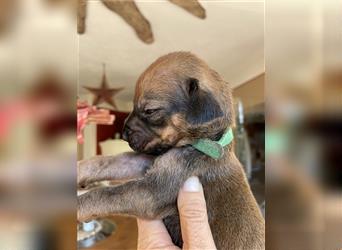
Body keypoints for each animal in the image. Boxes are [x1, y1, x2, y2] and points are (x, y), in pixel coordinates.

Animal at [79, 51, 266, 249]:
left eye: (150, 110)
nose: (123, 134)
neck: (203, 142)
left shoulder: (152, 190)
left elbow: (104, 194)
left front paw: (79, 204)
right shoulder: (148, 162)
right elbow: (110, 160)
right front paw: (80, 169)